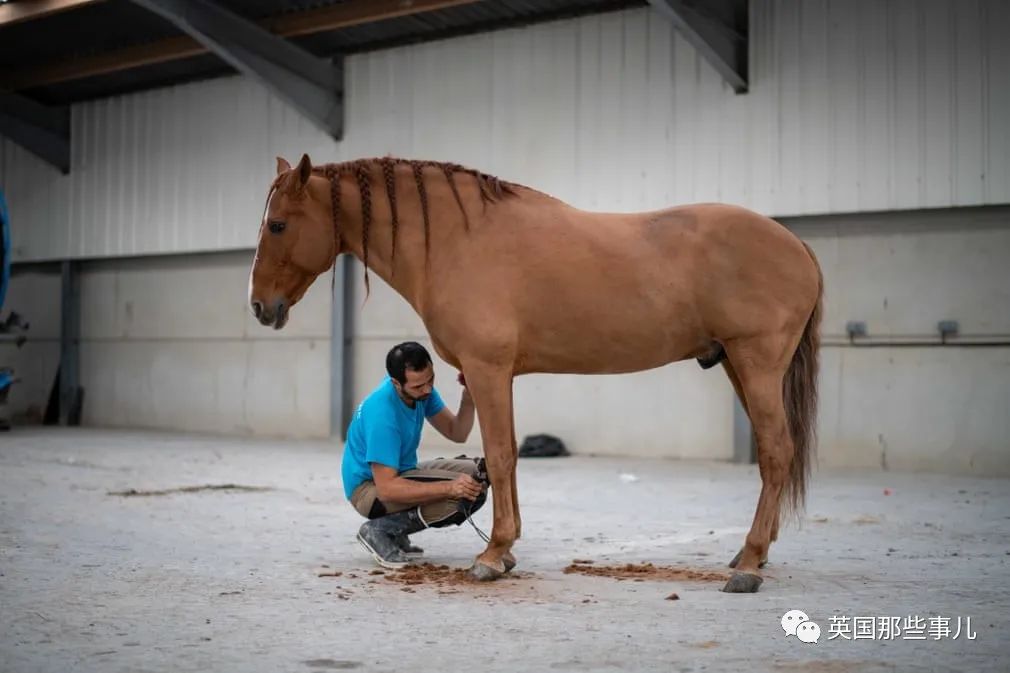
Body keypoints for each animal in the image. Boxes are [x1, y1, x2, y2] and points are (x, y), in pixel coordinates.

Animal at [250, 153, 820, 594]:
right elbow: (508, 456)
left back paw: (748, 566)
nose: (259, 306)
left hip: (755, 363)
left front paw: (491, 556)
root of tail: (797, 245)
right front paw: (505, 553)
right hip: (737, 367)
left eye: (278, 224)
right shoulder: (496, 377)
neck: (458, 240)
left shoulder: (488, 369)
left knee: (776, 451)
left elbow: (500, 456)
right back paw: (752, 555)